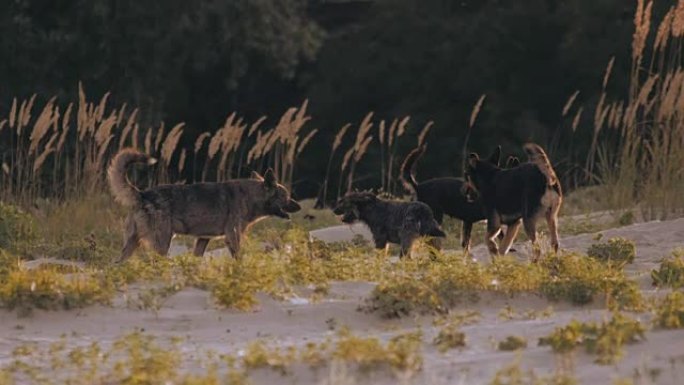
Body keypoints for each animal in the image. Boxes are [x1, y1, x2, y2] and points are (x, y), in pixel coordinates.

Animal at [107, 148, 300, 260]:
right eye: (286, 196)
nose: (298, 206)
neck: (250, 197)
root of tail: (142, 194)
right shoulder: (232, 237)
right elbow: (239, 259)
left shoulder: (203, 239)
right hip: (162, 242)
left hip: (133, 244)